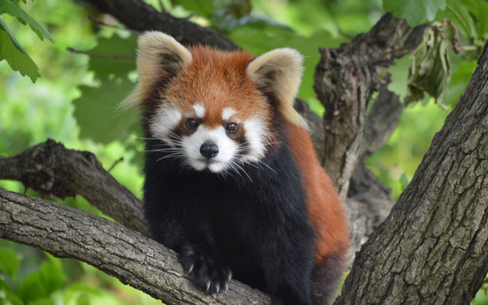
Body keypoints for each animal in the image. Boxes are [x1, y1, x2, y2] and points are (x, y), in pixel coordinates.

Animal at [124, 31, 348, 304]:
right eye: (192, 122)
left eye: (231, 126)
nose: (209, 149)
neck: (216, 176)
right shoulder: (167, 168)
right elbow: (172, 211)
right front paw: (205, 262)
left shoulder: (279, 172)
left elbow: (289, 233)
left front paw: (291, 293)